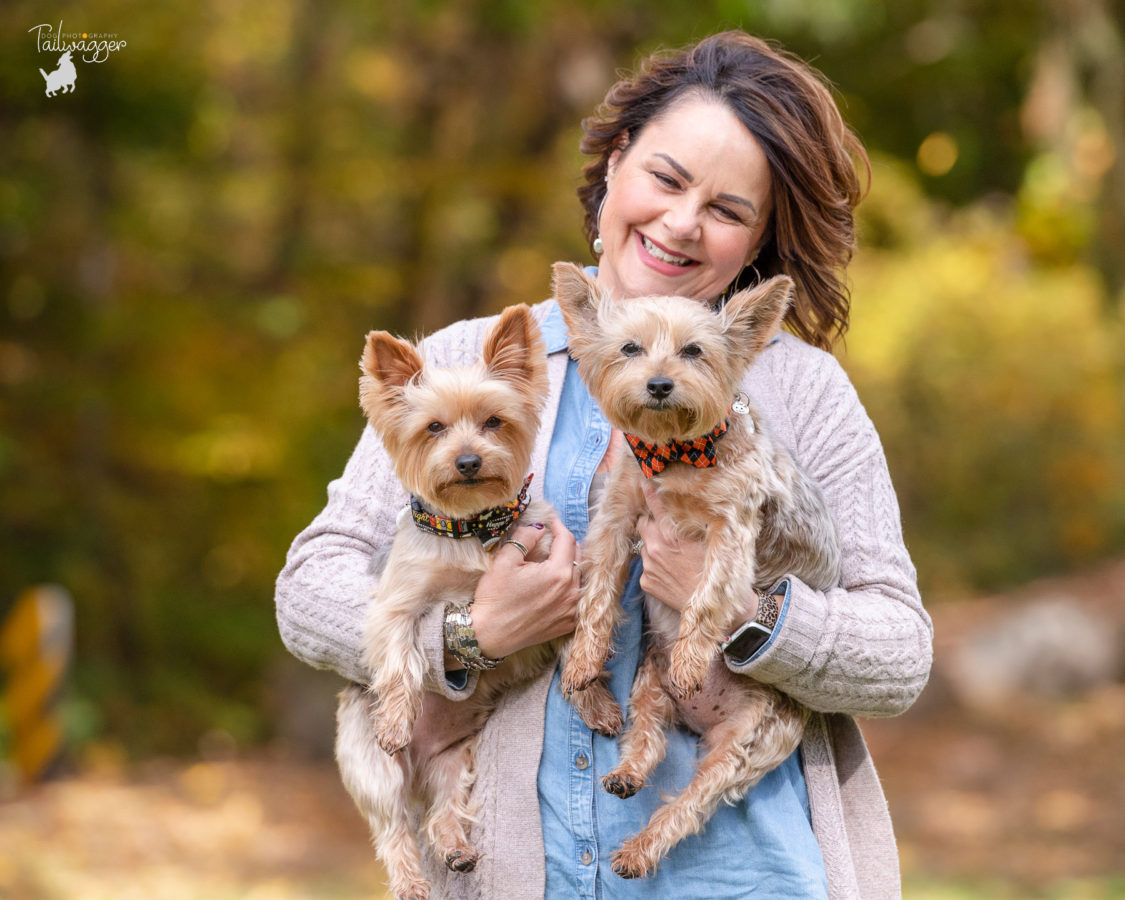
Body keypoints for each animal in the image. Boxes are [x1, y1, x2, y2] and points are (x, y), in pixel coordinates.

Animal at [333, 303, 625, 900]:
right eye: (434, 427)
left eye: (493, 421)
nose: (467, 460)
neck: (473, 527)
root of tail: (419, 771)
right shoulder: (397, 601)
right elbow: (399, 657)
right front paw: (395, 718)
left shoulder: (560, 586)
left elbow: (579, 645)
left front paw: (595, 701)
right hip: (371, 767)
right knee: (394, 827)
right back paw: (411, 879)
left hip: (456, 758)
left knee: (443, 808)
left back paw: (456, 848)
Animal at [553, 259, 846, 877]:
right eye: (630, 348)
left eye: (693, 351)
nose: (660, 384)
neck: (675, 453)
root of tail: (700, 720)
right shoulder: (618, 517)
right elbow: (598, 592)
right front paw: (586, 657)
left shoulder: (730, 531)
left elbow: (709, 595)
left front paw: (693, 658)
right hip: (647, 683)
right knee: (648, 738)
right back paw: (626, 774)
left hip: (746, 743)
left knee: (690, 803)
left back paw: (640, 849)